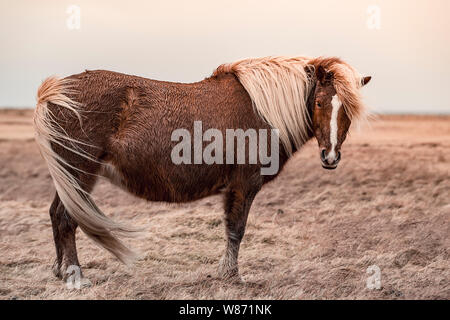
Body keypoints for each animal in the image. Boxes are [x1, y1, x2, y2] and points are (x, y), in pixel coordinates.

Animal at [33, 55, 370, 282]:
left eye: (349, 109)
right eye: (320, 103)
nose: (330, 156)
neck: (262, 111)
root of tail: (54, 92)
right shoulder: (244, 185)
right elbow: (236, 229)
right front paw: (231, 275)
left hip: (72, 176)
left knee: (57, 215)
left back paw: (60, 271)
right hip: (79, 172)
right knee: (67, 218)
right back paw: (75, 276)